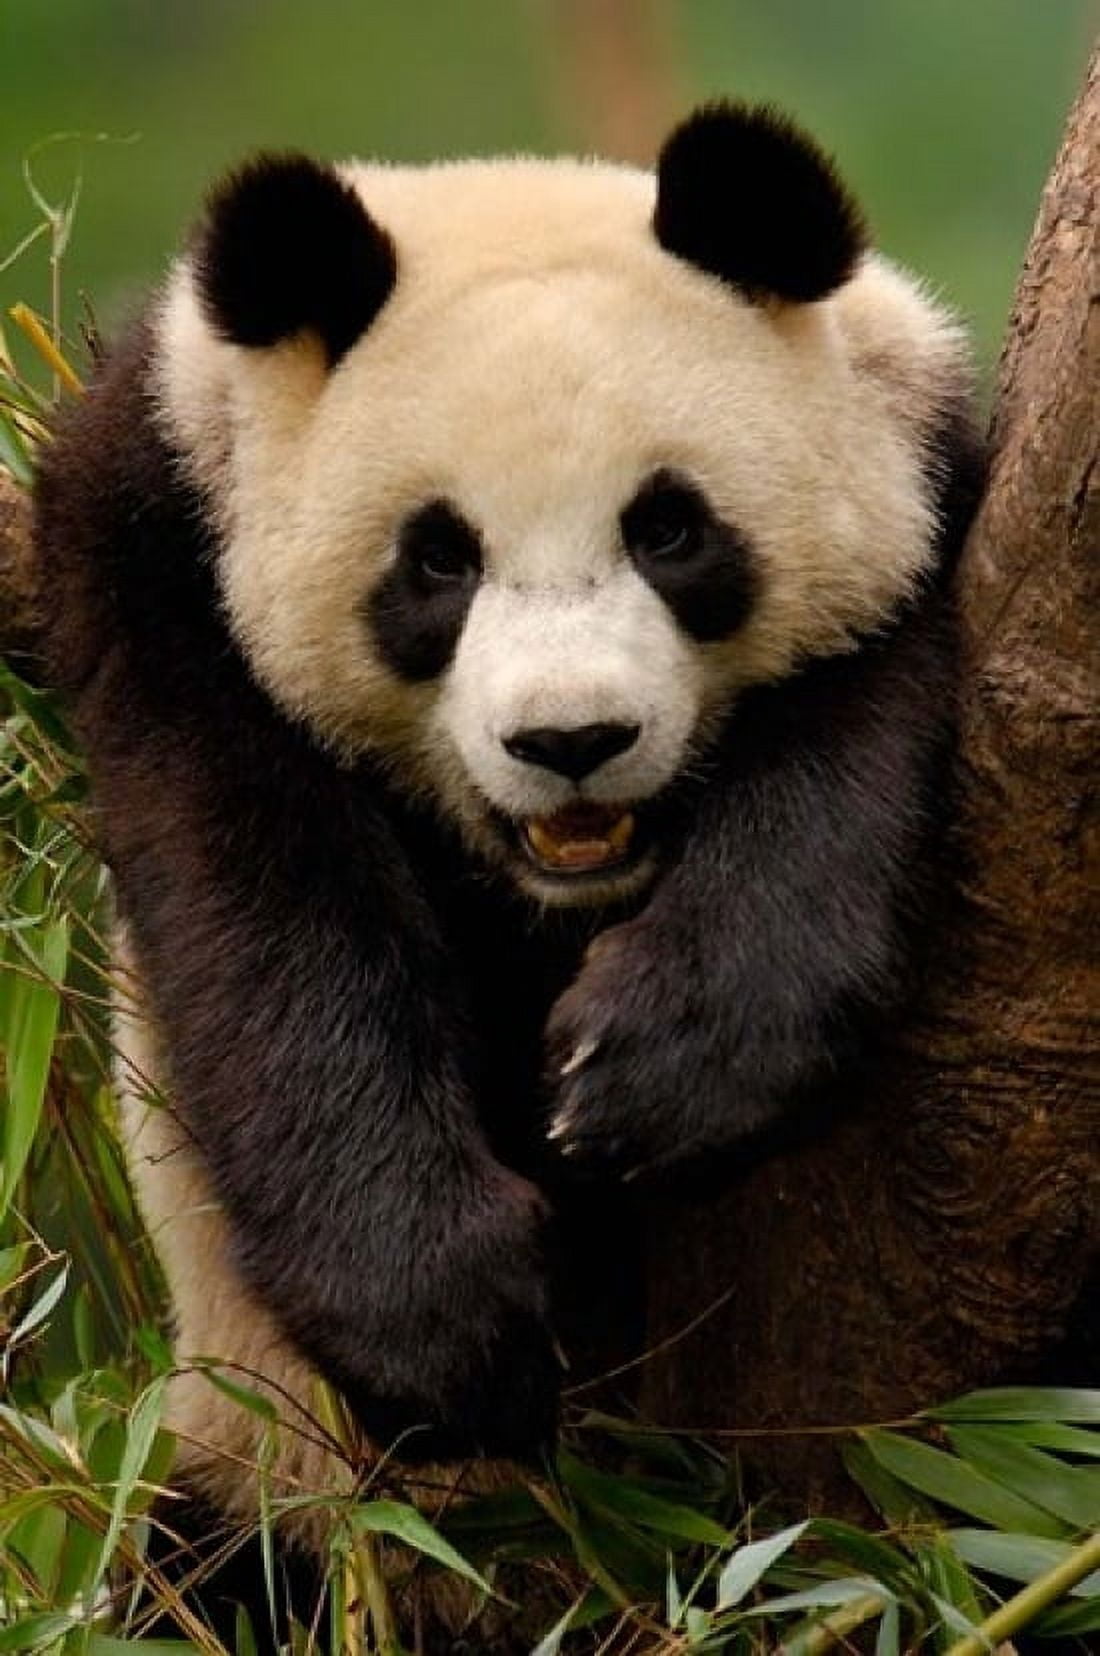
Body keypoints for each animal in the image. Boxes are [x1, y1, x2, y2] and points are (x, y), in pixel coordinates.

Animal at [33, 102, 982, 1642]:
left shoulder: (936, 510)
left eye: (669, 529)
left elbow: (849, 736)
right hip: (256, 1462)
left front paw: (652, 1072)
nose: (571, 741)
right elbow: (266, 925)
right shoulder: (162, 564)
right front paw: (452, 1325)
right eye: (436, 560)